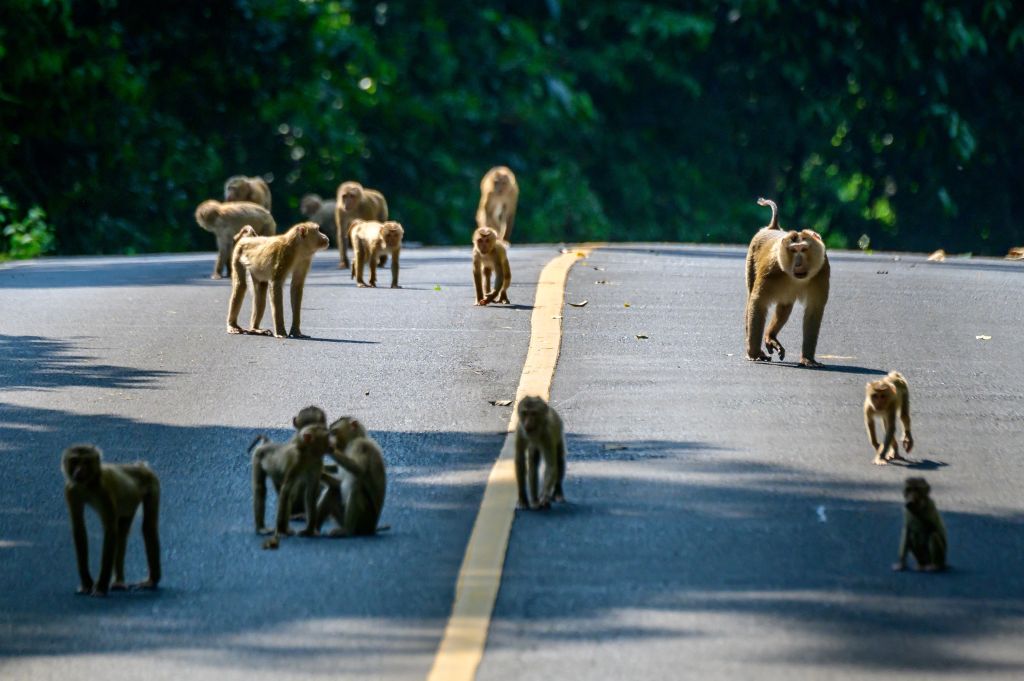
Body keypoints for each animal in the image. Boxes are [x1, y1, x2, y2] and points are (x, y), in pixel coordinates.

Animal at [61, 445, 161, 596]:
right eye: (75, 461)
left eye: (86, 462)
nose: (79, 471)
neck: (90, 483)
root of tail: (140, 466)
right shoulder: (71, 490)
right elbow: (79, 529)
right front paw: (87, 583)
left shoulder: (104, 491)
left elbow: (110, 530)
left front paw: (101, 586)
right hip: (129, 506)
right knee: (122, 534)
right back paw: (119, 581)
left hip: (152, 483)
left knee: (148, 528)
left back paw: (151, 580)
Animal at [744, 197, 830, 367]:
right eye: (793, 250)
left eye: (803, 249)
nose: (798, 263)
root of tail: (772, 227)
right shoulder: (771, 269)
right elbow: (758, 302)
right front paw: (755, 353)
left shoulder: (822, 272)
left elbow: (814, 310)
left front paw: (808, 358)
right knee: (751, 298)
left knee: (785, 304)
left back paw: (771, 337)